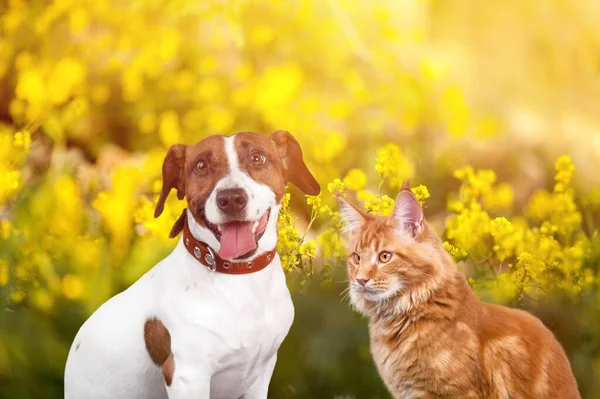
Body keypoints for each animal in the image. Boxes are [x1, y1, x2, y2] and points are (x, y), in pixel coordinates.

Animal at [63, 132, 322, 399]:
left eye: (257, 158)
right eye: (201, 165)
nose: (231, 198)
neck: (239, 279)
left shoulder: (260, 376)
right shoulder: (187, 376)